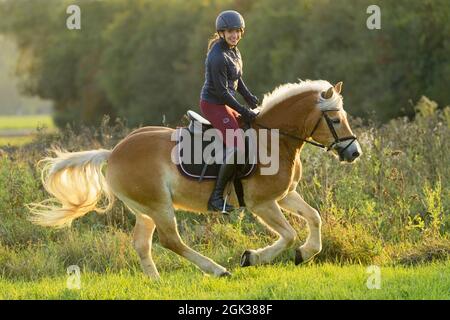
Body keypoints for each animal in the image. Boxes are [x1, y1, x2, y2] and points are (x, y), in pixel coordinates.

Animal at [29, 79, 362, 278]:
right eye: (335, 120)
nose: (354, 152)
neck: (273, 140)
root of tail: (112, 153)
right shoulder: (263, 204)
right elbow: (289, 234)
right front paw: (252, 258)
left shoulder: (284, 195)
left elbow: (314, 217)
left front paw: (306, 253)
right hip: (160, 206)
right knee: (170, 241)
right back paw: (216, 270)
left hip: (145, 209)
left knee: (142, 244)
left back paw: (156, 282)